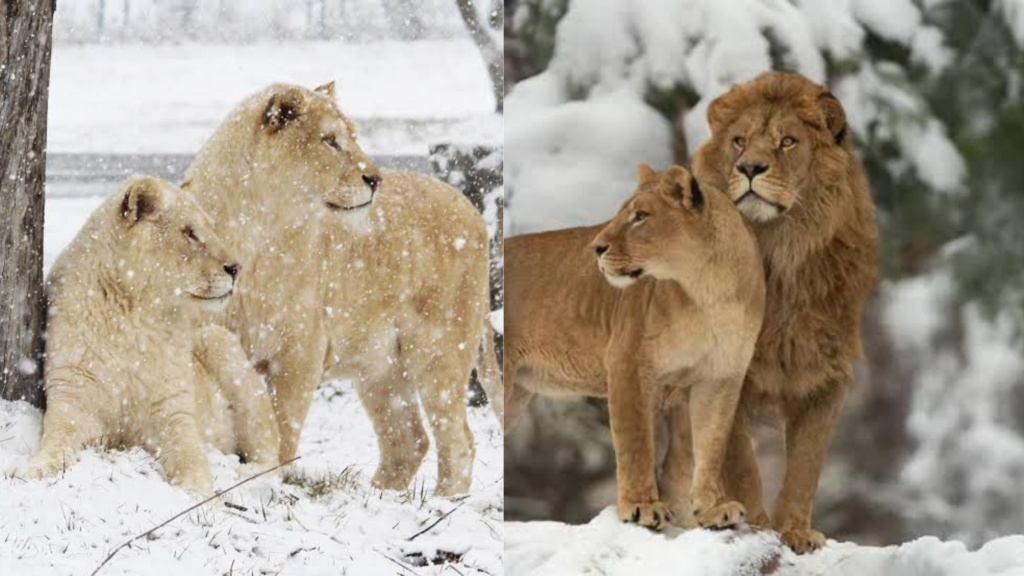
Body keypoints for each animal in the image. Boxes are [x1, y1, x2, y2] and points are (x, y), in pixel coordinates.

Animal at [16, 176, 280, 494]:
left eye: (212, 229)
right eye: (189, 232)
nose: (236, 268)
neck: (138, 317)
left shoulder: (173, 412)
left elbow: (192, 460)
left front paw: (202, 495)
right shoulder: (71, 396)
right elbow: (58, 441)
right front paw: (30, 472)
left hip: (222, 346)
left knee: (271, 450)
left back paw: (249, 475)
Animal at [499, 163, 765, 528]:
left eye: (641, 216)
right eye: (622, 213)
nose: (596, 248)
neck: (709, 290)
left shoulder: (720, 376)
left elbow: (711, 444)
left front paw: (713, 508)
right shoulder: (628, 363)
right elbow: (635, 443)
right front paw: (642, 508)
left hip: (515, 395)